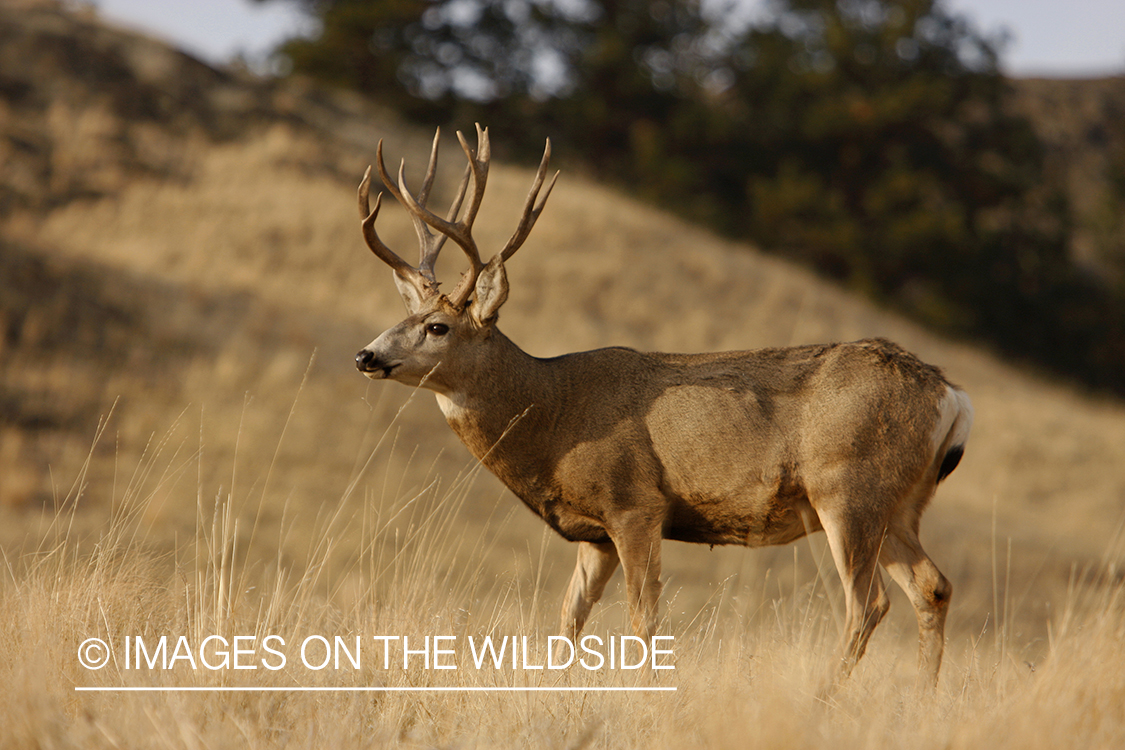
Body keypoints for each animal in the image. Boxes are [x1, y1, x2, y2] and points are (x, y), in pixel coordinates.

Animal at [353, 125, 973, 686]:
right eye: (405, 315)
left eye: (437, 327)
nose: (366, 355)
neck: (554, 417)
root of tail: (952, 394)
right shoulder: (594, 533)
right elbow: (569, 620)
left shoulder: (634, 502)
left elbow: (643, 619)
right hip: (898, 503)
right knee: (932, 587)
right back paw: (923, 700)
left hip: (847, 488)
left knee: (868, 604)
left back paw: (825, 696)